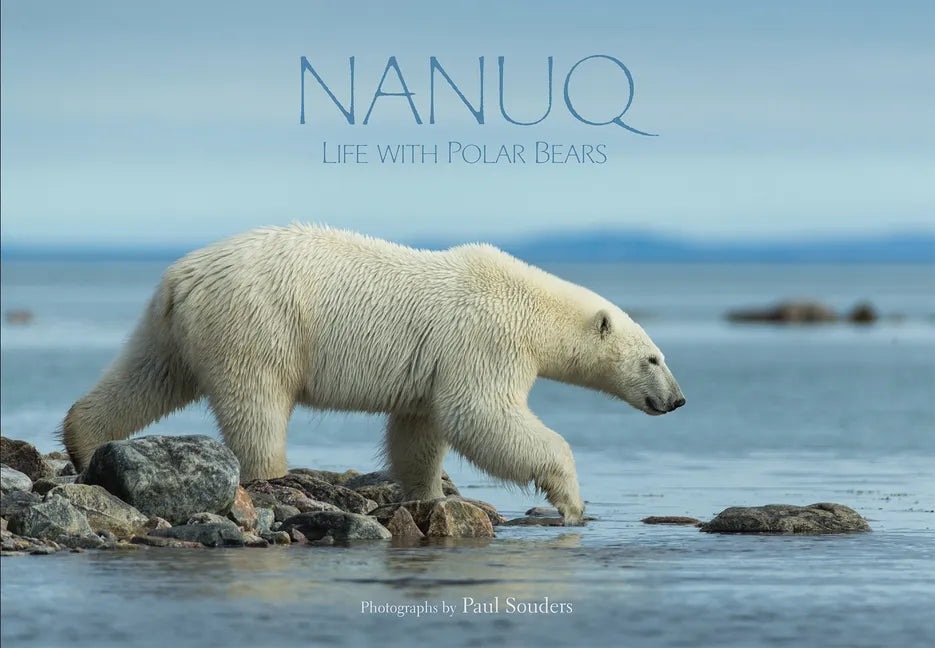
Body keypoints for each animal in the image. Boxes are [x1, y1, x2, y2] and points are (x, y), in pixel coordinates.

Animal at [62, 225, 685, 524]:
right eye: (654, 358)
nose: (677, 400)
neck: (530, 305)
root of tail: (182, 277)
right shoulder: (484, 339)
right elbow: (482, 415)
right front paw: (572, 502)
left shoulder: (435, 364)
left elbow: (420, 429)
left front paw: (428, 495)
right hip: (258, 323)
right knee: (257, 402)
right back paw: (274, 479)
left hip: (175, 326)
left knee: (149, 375)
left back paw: (84, 440)